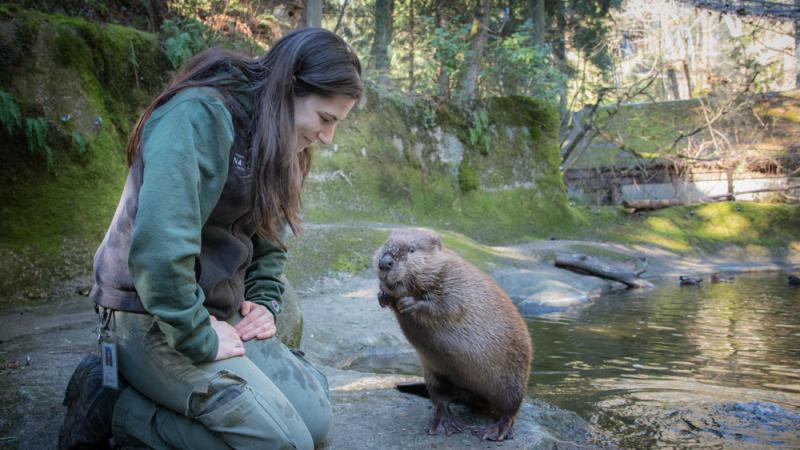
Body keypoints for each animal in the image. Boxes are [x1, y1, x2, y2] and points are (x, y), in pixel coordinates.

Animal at [374, 229, 532, 440]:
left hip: (512, 380)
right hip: (434, 373)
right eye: (385, 245)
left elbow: (446, 306)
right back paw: (443, 424)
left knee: (510, 410)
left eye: (411, 249)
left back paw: (493, 431)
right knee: (441, 399)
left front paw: (409, 303)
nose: (384, 262)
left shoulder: (457, 282)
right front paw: (382, 296)